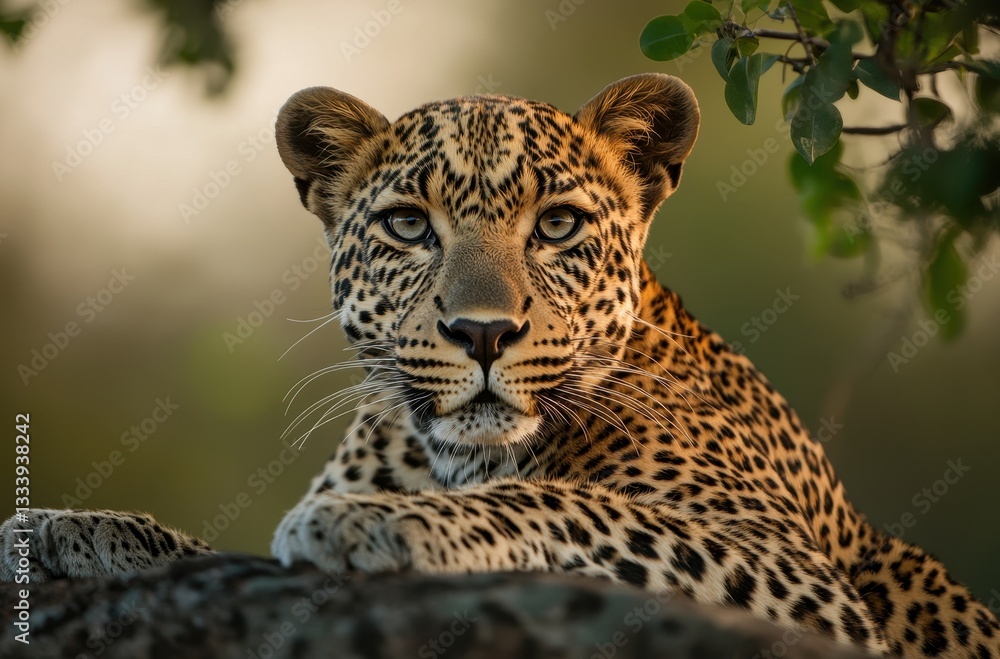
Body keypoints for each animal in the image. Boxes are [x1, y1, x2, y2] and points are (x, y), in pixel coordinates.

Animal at [2, 74, 996, 658]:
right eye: (409, 224)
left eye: (557, 225)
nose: (482, 333)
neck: (452, 456)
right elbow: (209, 547)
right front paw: (63, 525)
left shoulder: (800, 577)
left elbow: (568, 503)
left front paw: (379, 519)